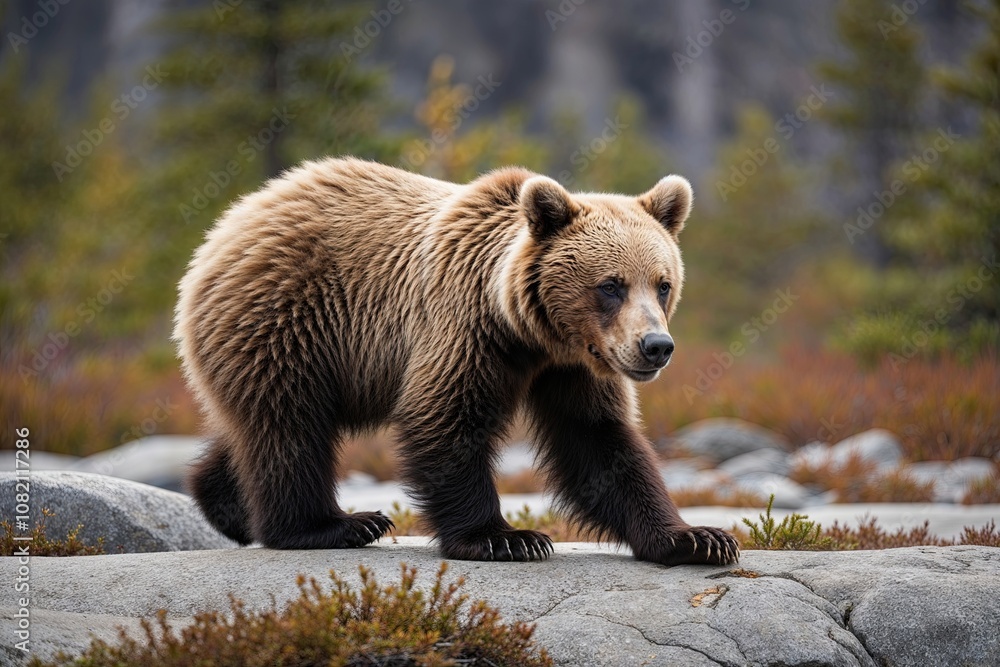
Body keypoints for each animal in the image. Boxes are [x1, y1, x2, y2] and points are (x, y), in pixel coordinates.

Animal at [174, 157, 739, 566]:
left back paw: (225, 506)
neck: (530, 332)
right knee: (289, 425)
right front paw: (506, 538)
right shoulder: (463, 327)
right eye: (610, 286)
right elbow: (446, 419)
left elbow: (599, 440)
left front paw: (697, 537)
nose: (655, 346)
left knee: (254, 426)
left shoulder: (572, 367)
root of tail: (230, 221)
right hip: (287, 320)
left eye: (662, 283)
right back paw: (334, 524)